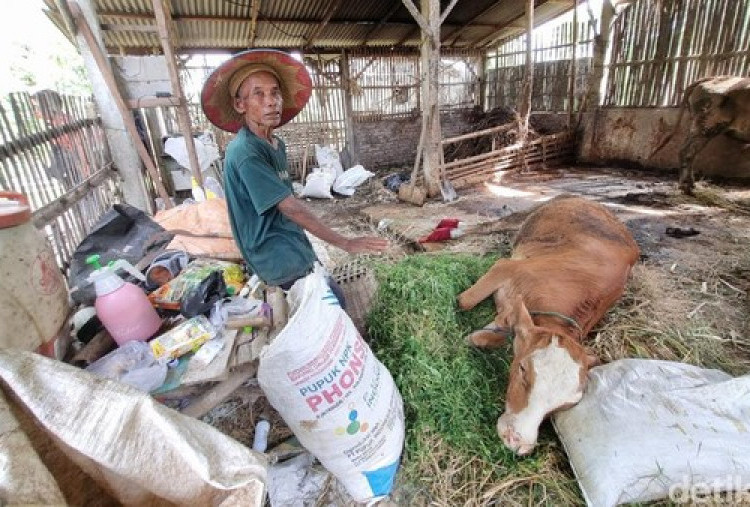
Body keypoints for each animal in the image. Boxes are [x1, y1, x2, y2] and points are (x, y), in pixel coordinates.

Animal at [458, 195, 640, 456]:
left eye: (568, 404)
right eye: (523, 370)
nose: (517, 441)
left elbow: (491, 334)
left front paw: (476, 337)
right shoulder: (506, 267)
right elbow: (465, 301)